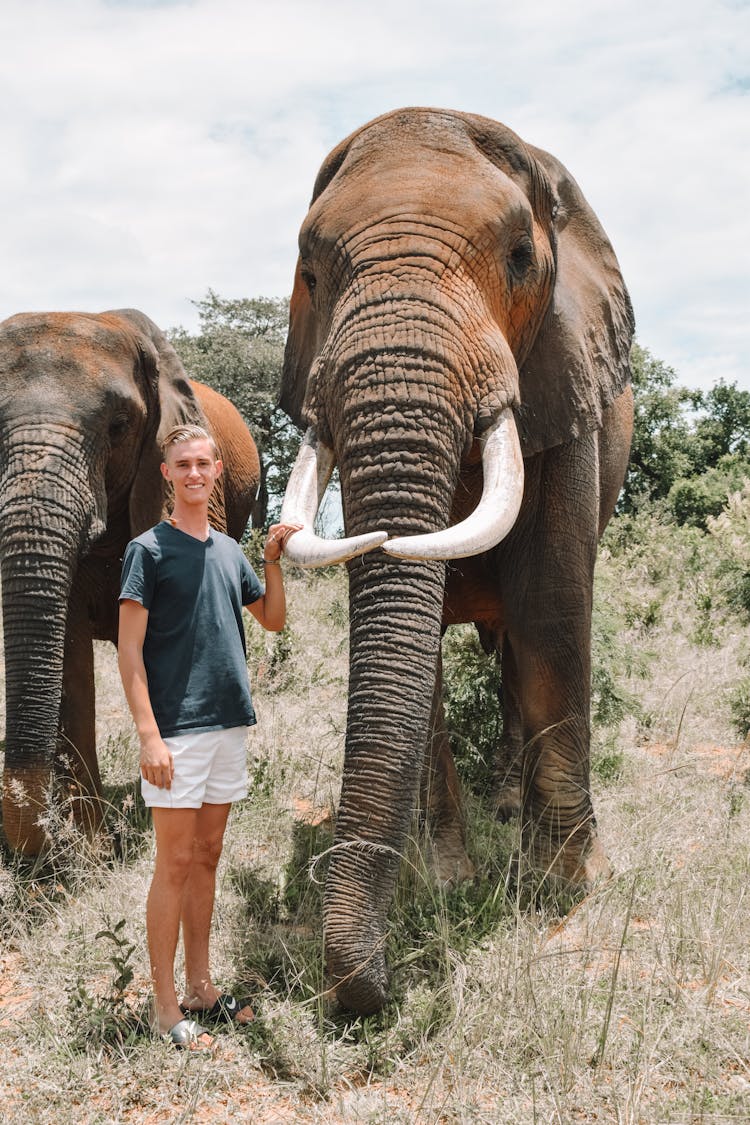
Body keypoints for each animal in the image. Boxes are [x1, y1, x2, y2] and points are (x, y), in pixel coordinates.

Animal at [278, 109, 638, 1017]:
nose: (367, 994)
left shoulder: (564, 379)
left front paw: (559, 889)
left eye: (518, 257)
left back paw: (511, 803)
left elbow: (552, 606)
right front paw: (445, 884)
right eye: (309, 271)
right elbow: (418, 646)